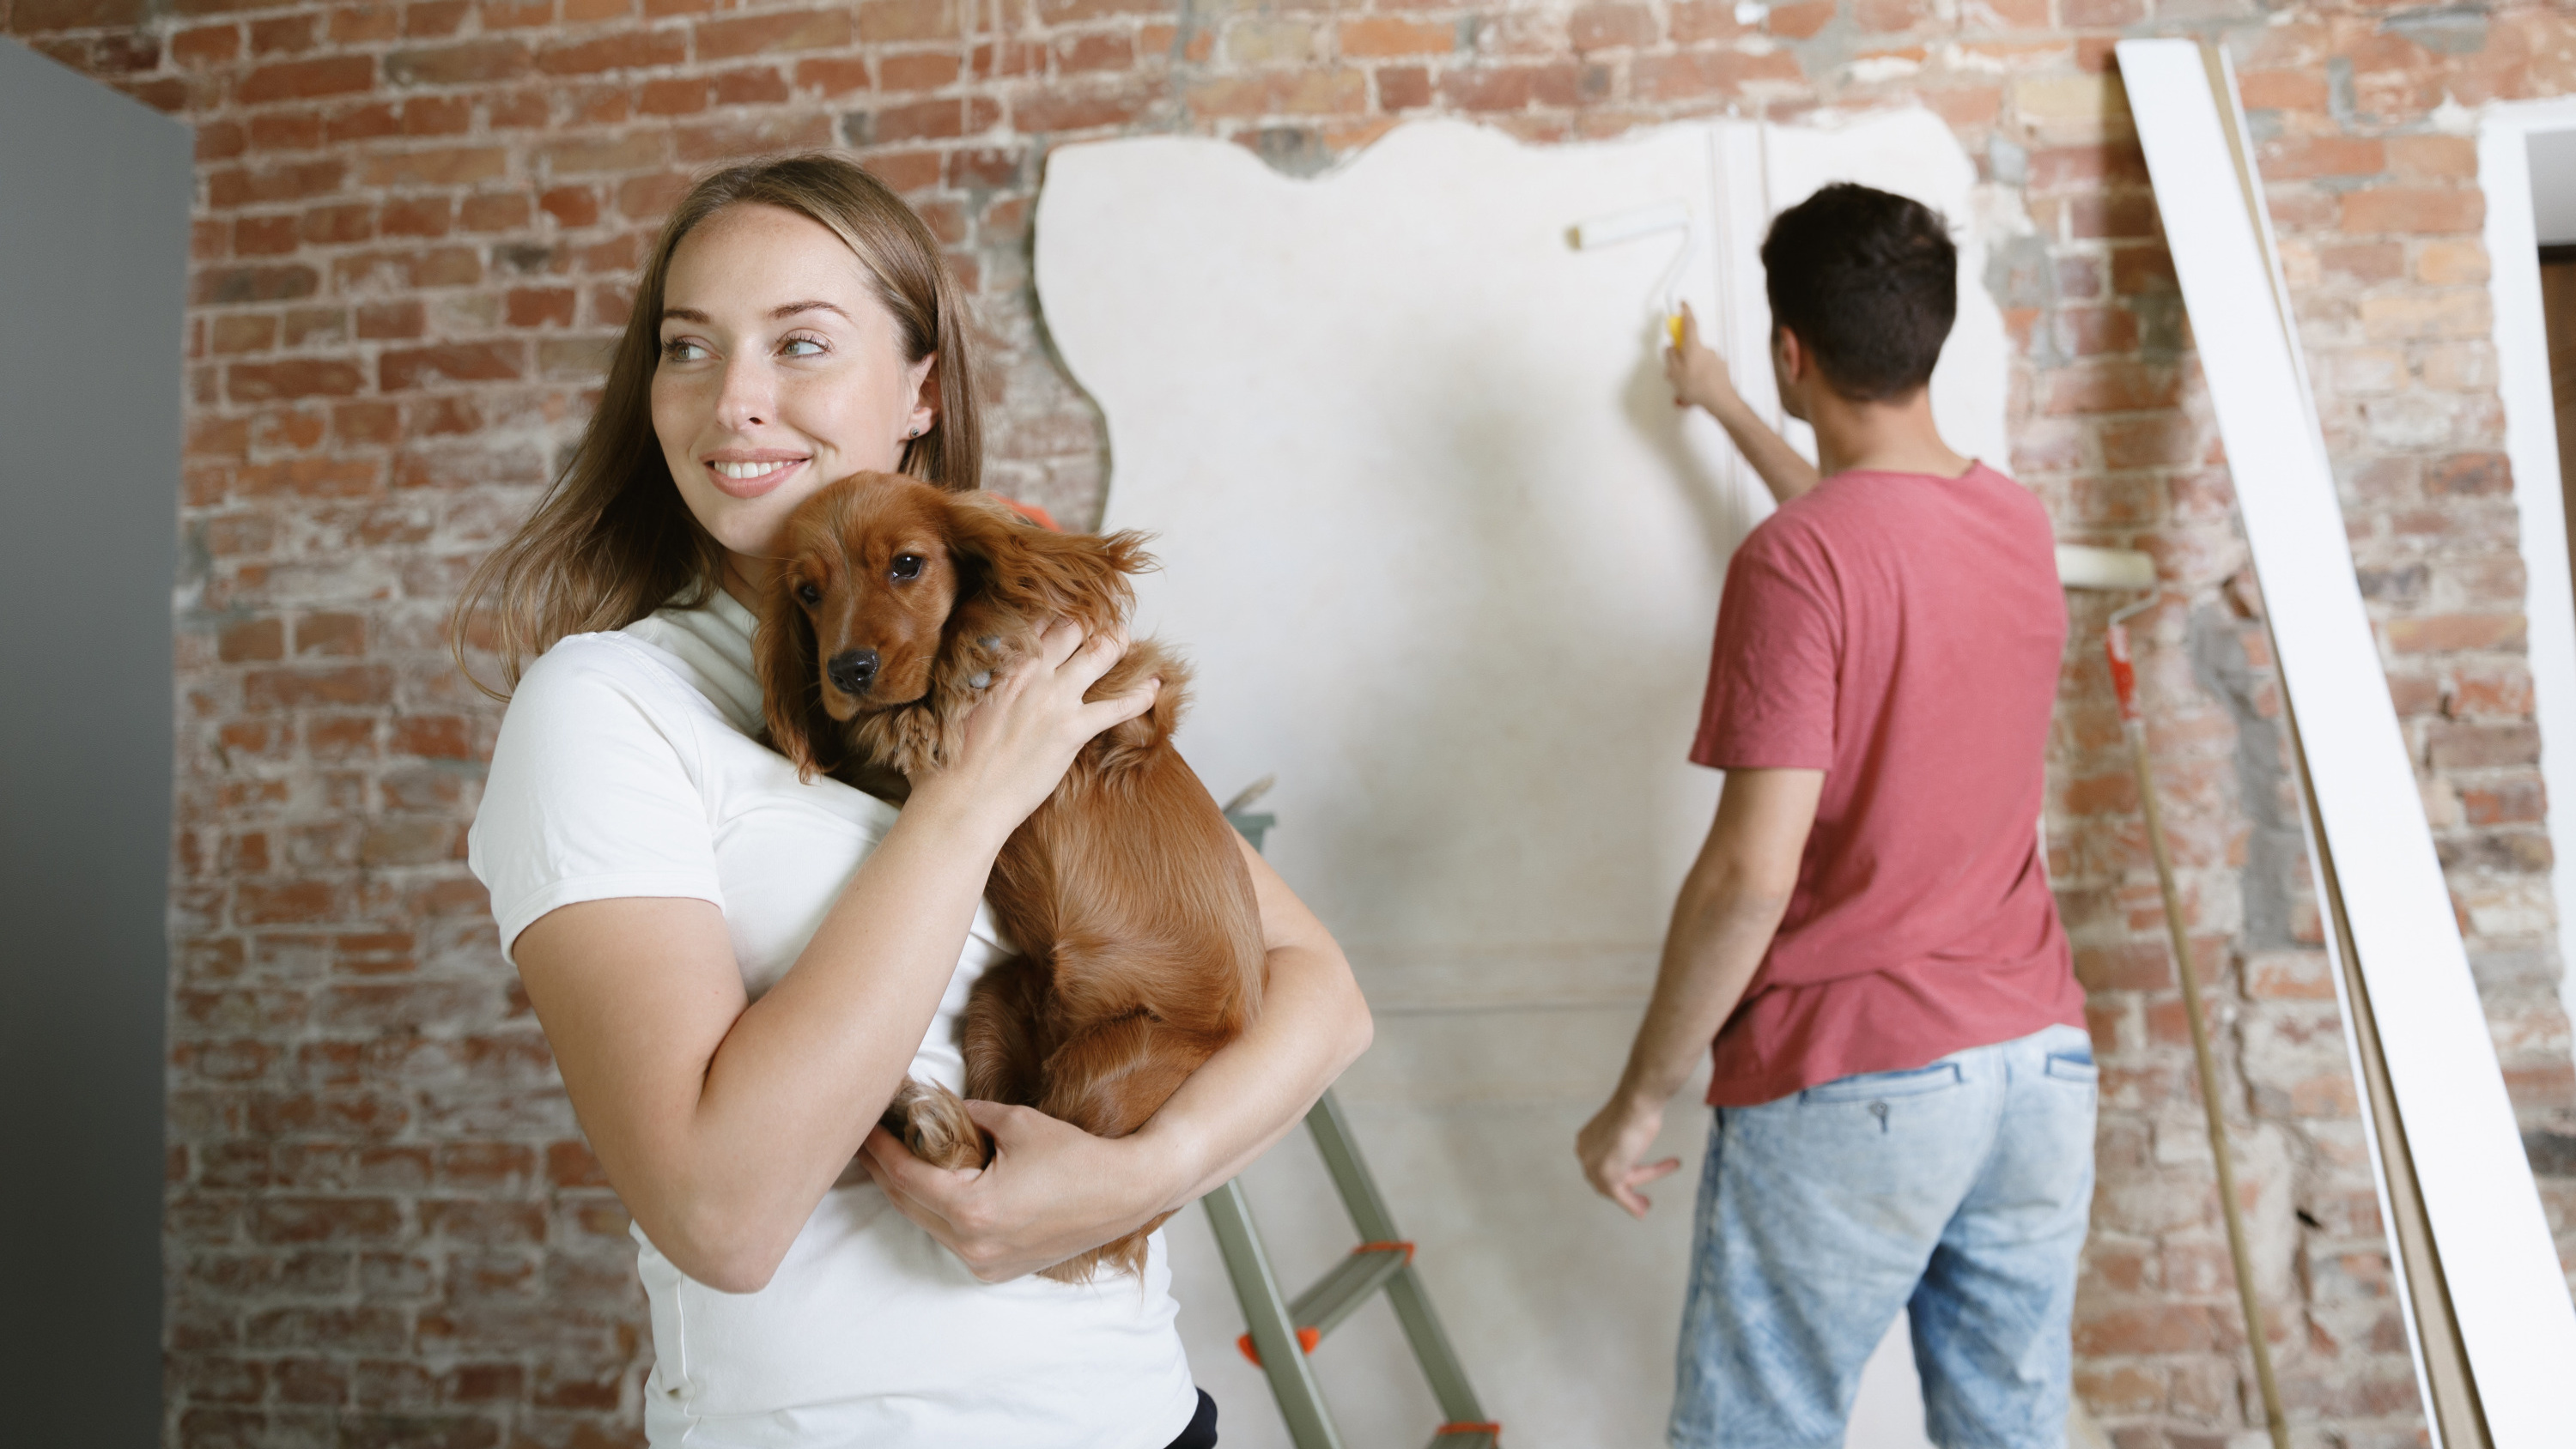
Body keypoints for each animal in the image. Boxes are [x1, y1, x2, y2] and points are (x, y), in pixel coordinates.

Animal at [752, 476, 1267, 1282]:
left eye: (906, 565)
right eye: (806, 592)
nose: (847, 672)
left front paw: (968, 641)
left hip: (1114, 1068)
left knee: (1039, 1163)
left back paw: (936, 1129)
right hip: (998, 1002)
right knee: (1005, 1124)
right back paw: (925, 1122)